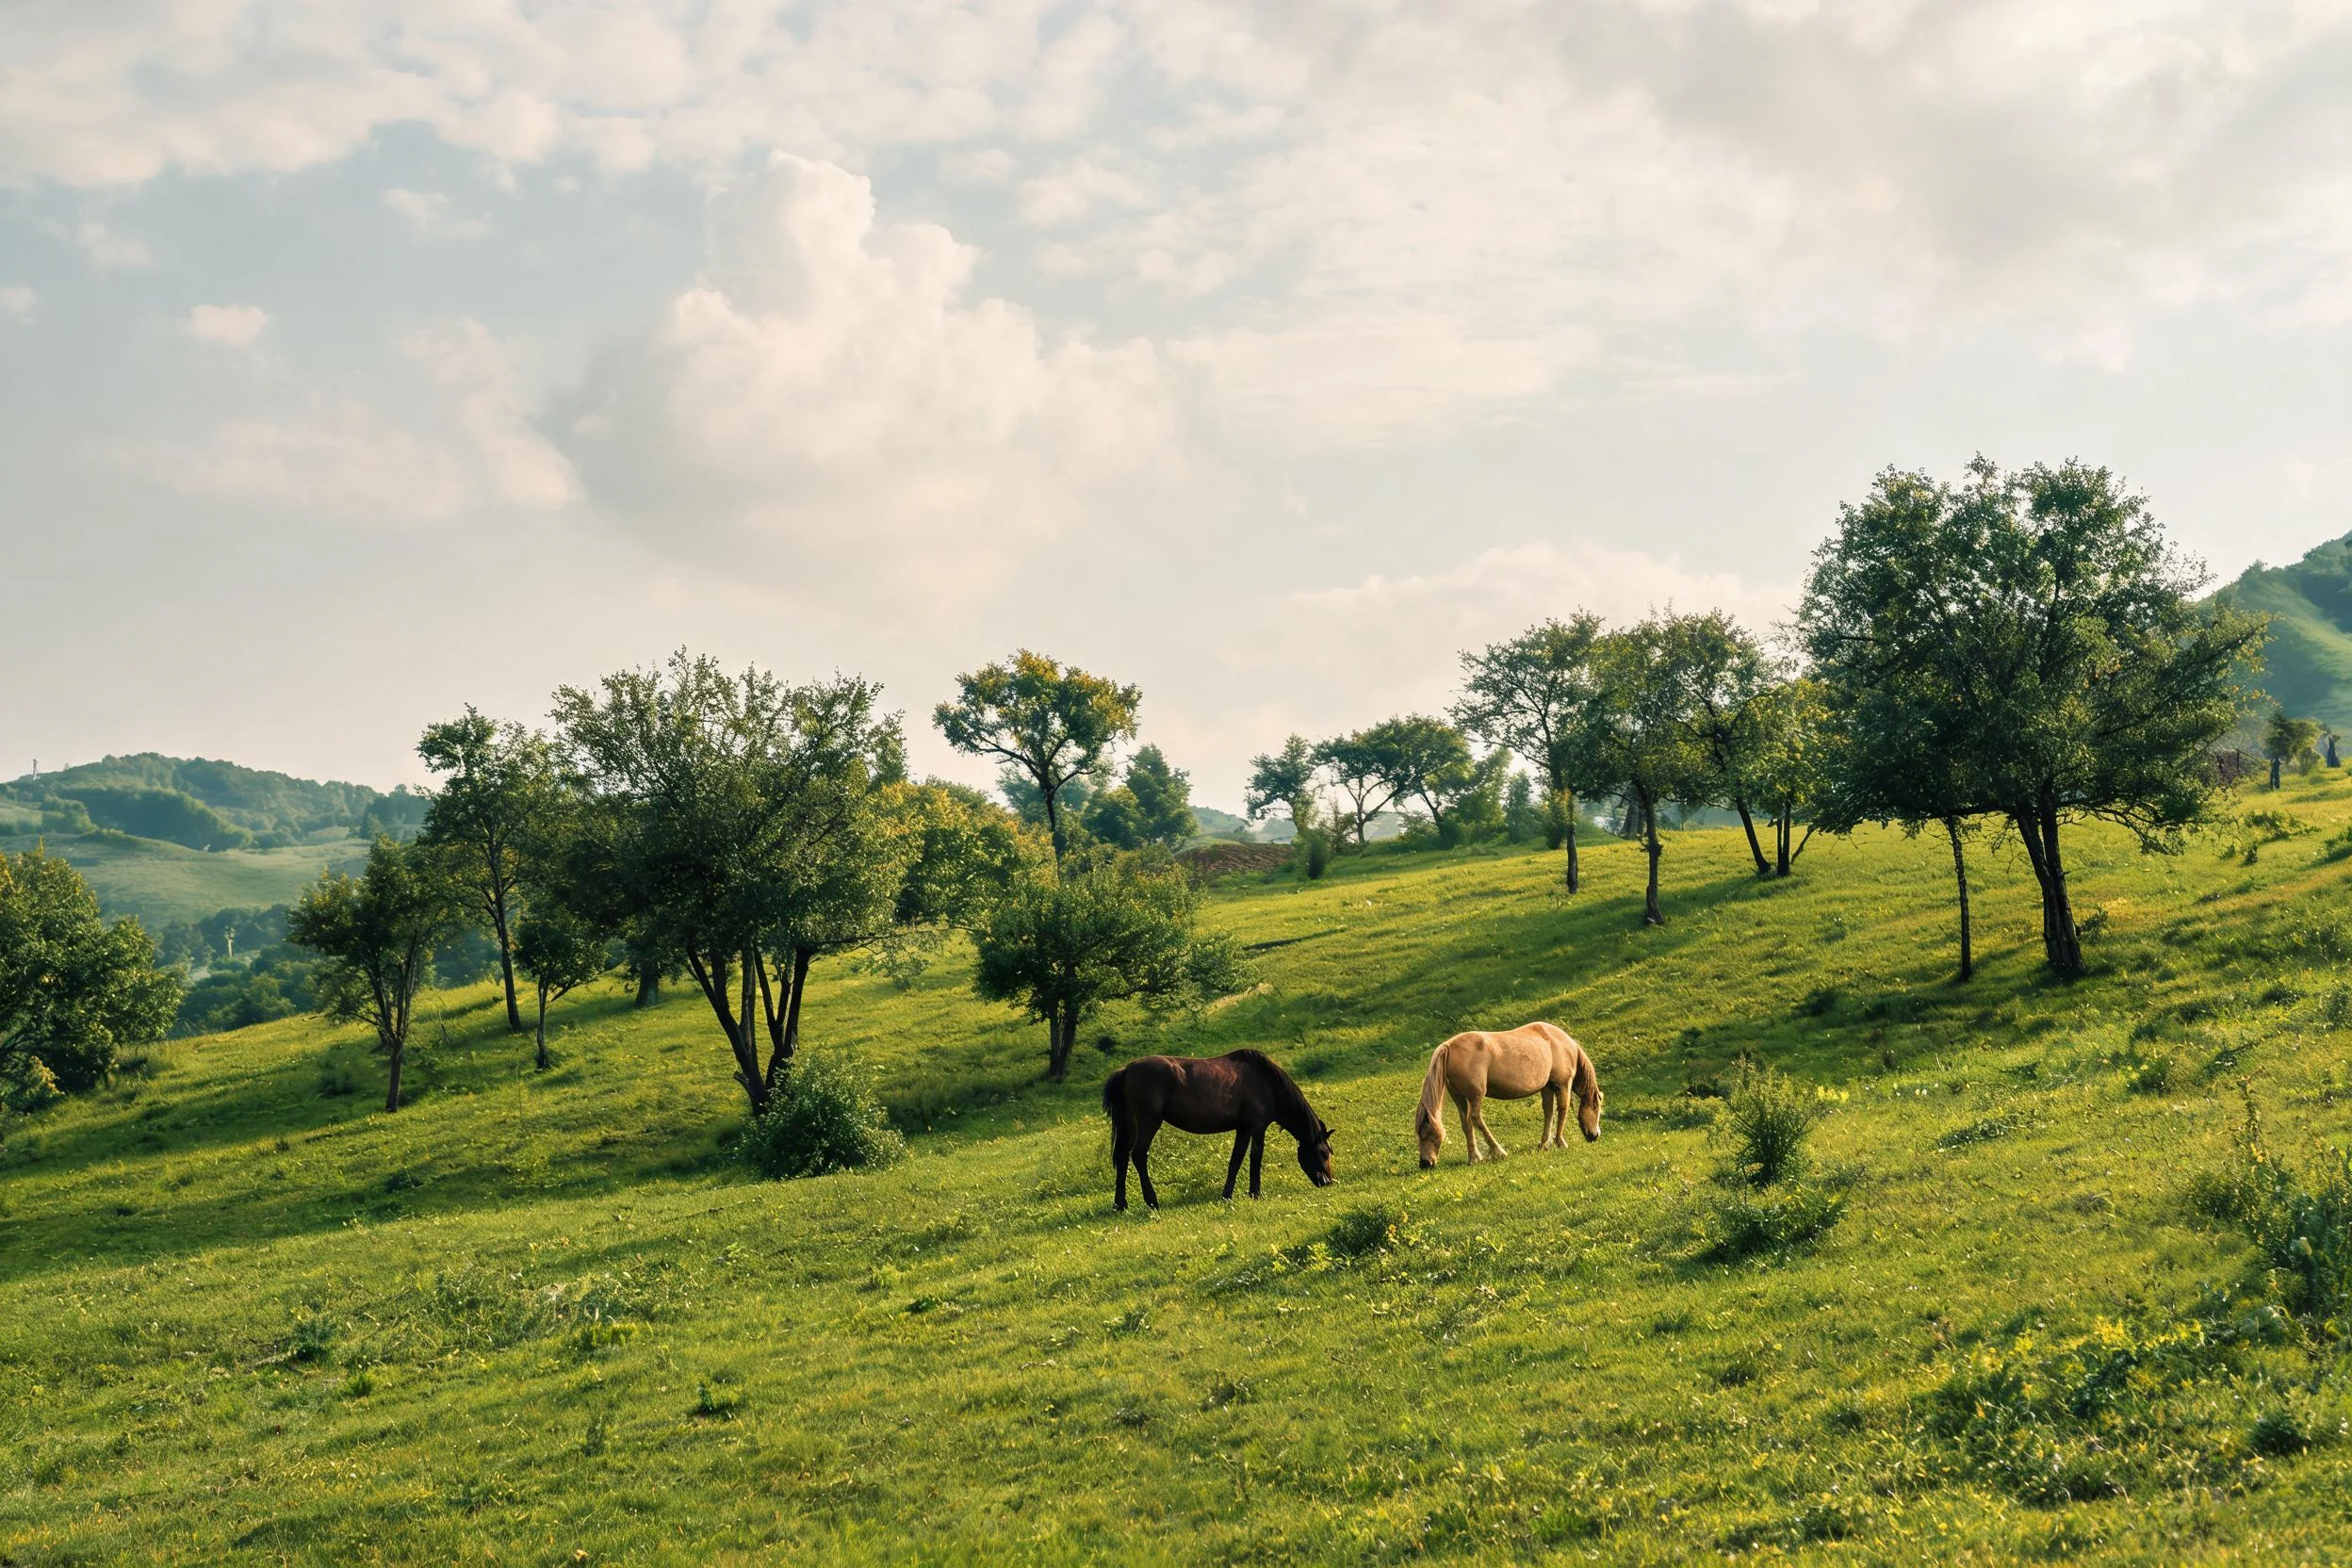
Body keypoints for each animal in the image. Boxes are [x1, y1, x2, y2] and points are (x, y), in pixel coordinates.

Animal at [1102, 1049, 1335, 1211]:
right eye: (1323, 1153)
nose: (1328, 1182)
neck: (1267, 1082)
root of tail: (1125, 1071)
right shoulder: (1253, 1128)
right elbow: (1247, 1159)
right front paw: (1243, 1193)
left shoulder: (1249, 1129)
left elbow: (1245, 1159)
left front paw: (1242, 1193)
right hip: (1148, 1123)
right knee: (1139, 1155)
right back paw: (1152, 1201)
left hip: (1129, 1125)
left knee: (1122, 1157)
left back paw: (1120, 1204)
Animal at [1415, 1022, 1602, 1168]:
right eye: (1598, 1109)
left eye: (1423, 1132)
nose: (1425, 1163)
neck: (1558, 1042)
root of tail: (1449, 1046)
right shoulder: (1563, 1084)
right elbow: (1562, 1110)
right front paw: (1560, 1142)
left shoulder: (1547, 1087)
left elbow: (1549, 1112)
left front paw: (1544, 1144)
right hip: (1476, 1096)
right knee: (1475, 1118)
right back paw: (1499, 1152)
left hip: (1460, 1098)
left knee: (1466, 1124)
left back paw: (1474, 1158)